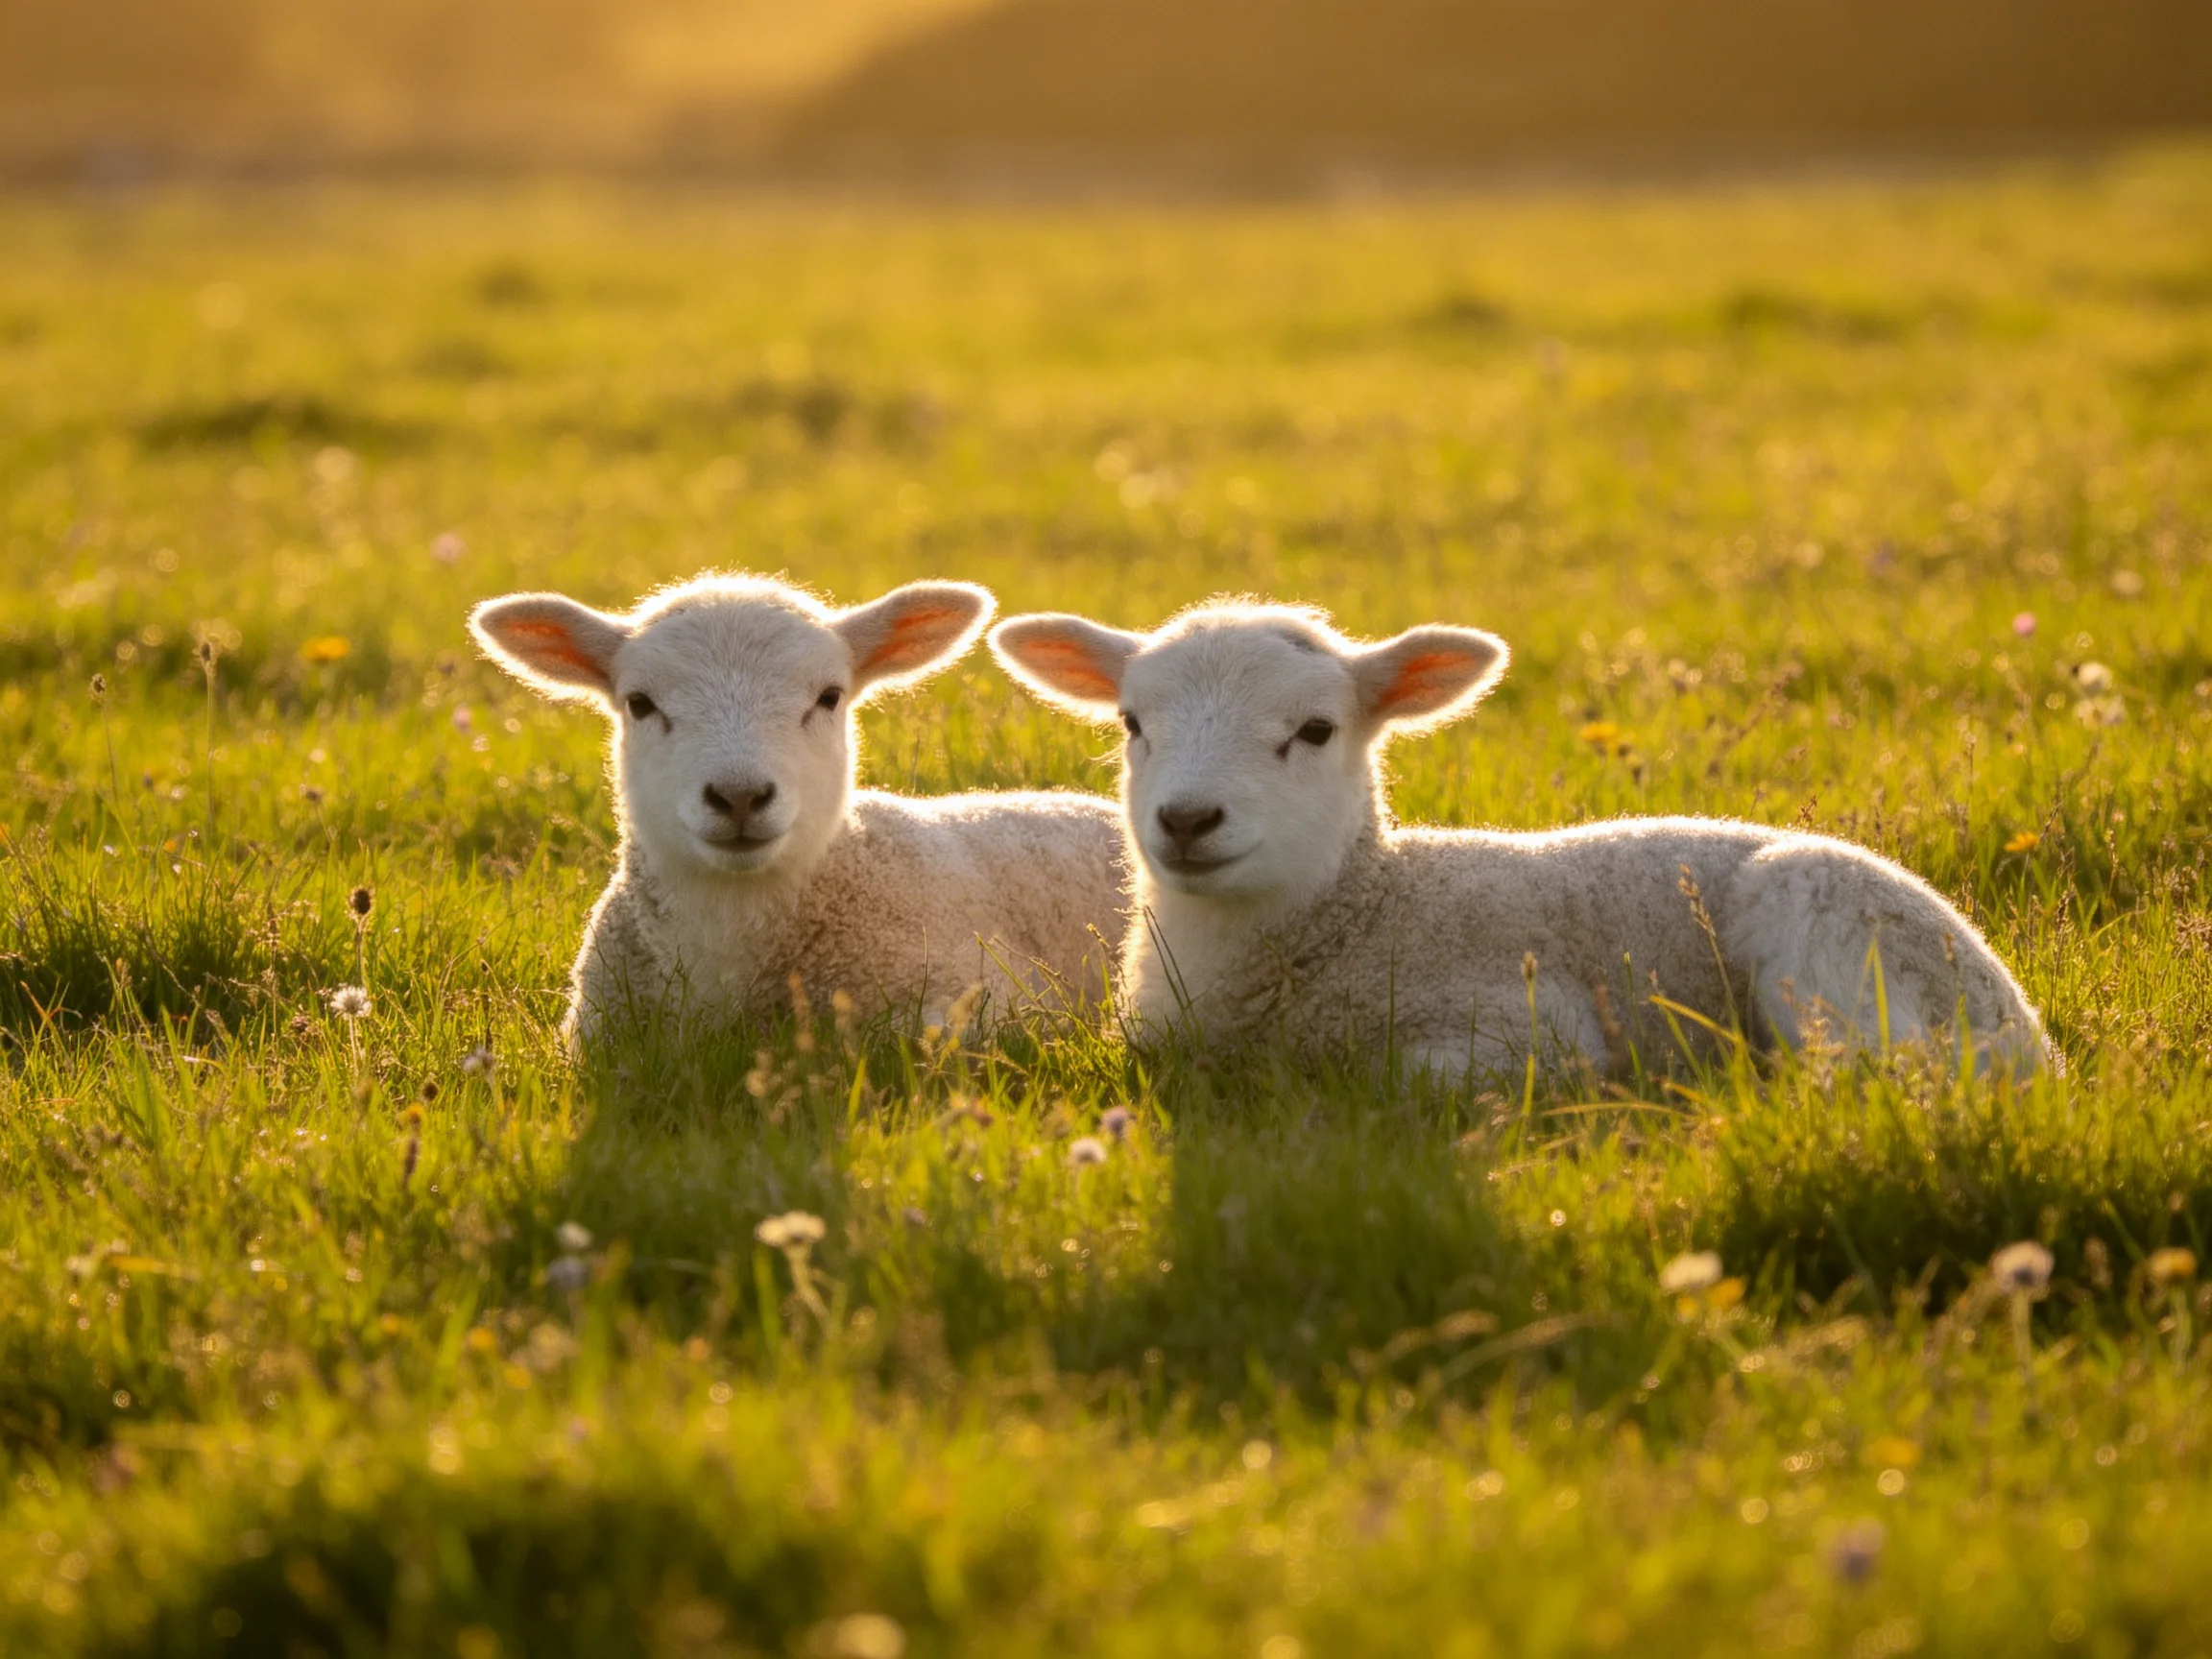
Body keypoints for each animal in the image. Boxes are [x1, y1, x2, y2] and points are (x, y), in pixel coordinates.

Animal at [989, 600, 2051, 1082]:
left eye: (1316, 731)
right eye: (1132, 722)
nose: (1187, 820)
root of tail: (2031, 1035)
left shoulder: (1529, 1024)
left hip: (1829, 931)